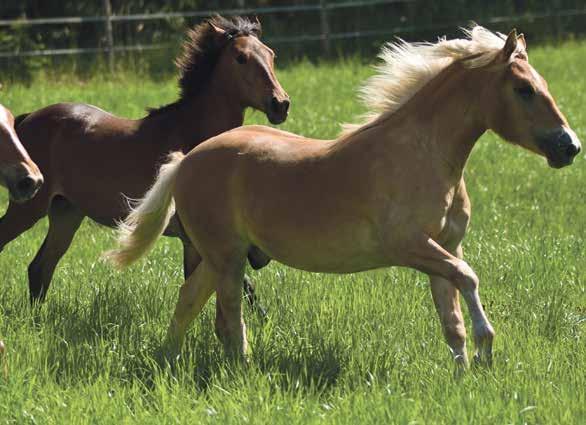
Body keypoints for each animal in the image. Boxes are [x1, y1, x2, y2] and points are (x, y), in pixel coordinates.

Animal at [0, 14, 288, 304]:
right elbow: (239, 288)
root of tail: (26, 119)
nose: (281, 104)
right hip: (28, 208)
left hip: (66, 212)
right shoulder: (198, 238)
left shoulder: (193, 241)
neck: (191, 134)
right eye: (240, 57)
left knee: (40, 267)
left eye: (271, 54)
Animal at [106, 27, 580, 368]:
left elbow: (453, 321)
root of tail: (185, 161)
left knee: (188, 303)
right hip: (227, 258)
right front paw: (487, 349)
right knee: (229, 318)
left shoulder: (444, 248)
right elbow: (469, 278)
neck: (422, 155)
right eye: (524, 90)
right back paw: (241, 371)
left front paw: (464, 375)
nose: (570, 147)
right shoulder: (410, 246)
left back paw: (170, 362)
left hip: (219, 256)